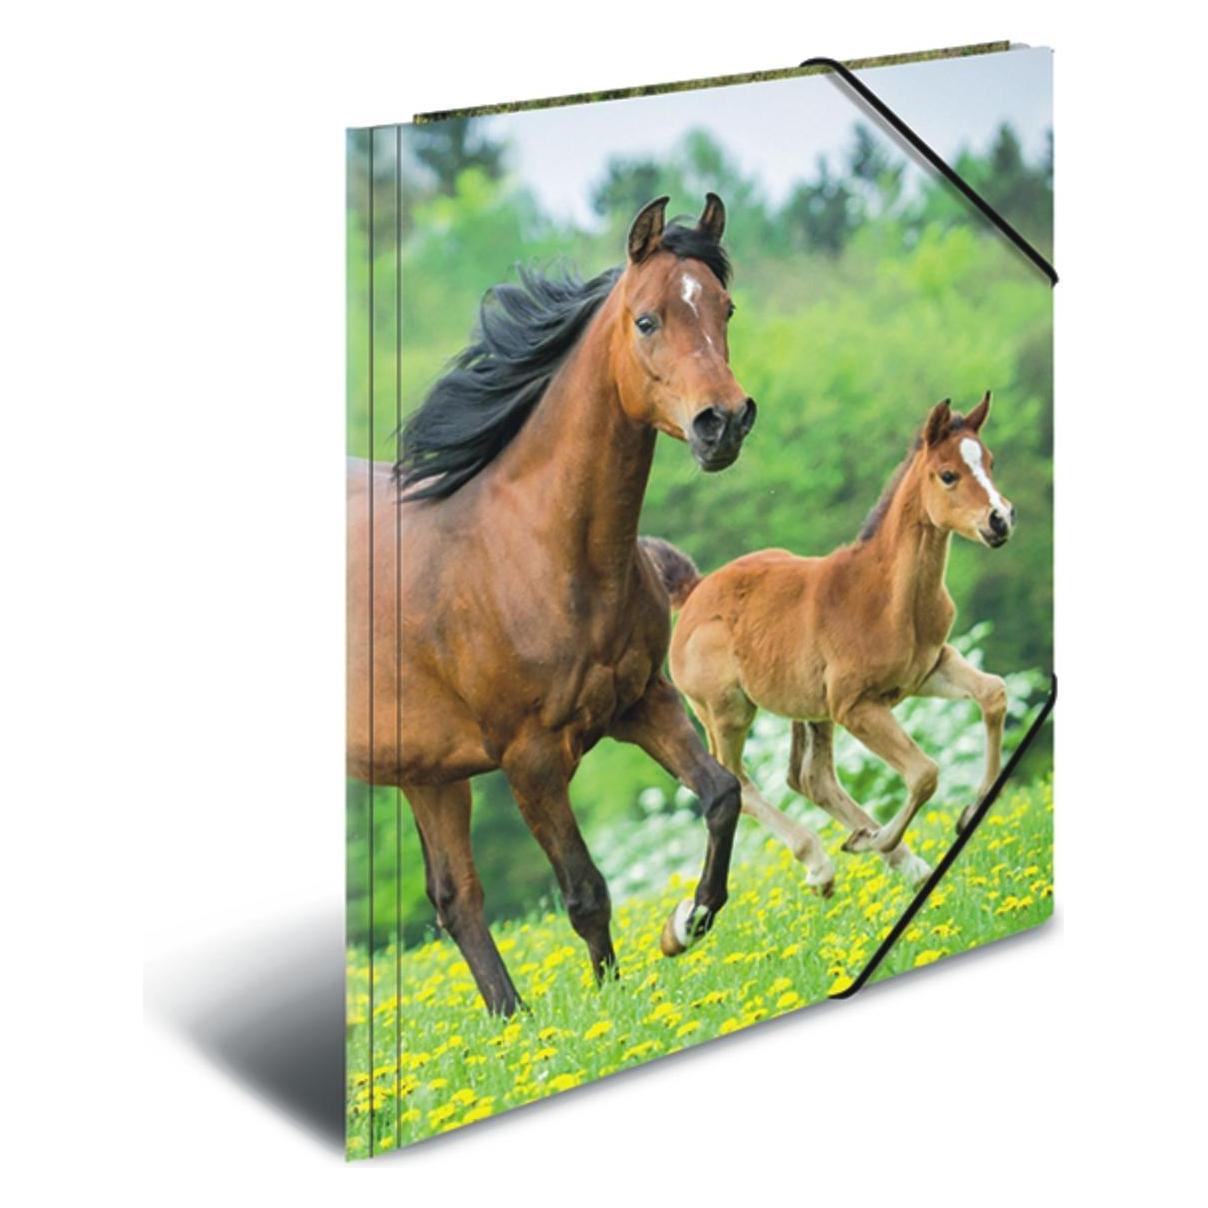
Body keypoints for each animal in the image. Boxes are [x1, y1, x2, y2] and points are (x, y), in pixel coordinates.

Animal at [347, 195, 758, 1015]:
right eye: (646, 320)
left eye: (724, 307)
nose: (723, 422)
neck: (535, 552)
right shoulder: (530, 758)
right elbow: (585, 891)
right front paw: (613, 1005)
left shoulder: (642, 702)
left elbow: (722, 795)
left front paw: (686, 923)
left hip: (426, 773)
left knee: (456, 899)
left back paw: (514, 1023)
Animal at [658, 393, 1015, 892]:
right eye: (948, 474)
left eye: (990, 462)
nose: (1000, 520)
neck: (888, 596)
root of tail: (693, 592)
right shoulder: (855, 706)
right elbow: (925, 773)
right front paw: (877, 839)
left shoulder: (929, 668)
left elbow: (993, 694)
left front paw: (968, 813)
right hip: (727, 712)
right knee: (738, 782)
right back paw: (823, 863)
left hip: (807, 707)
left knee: (810, 778)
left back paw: (904, 862)